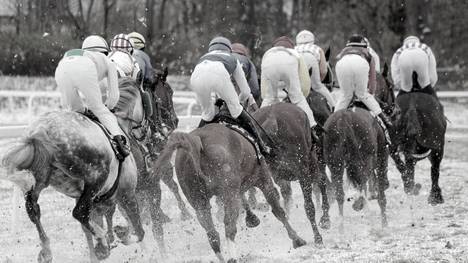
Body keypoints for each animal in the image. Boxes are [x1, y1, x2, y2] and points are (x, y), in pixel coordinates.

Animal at [0, 77, 145, 262]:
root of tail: (41, 132)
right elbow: (138, 231)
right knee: (79, 213)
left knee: (33, 209)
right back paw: (101, 242)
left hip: (40, 179)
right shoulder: (127, 194)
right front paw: (115, 238)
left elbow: (94, 227)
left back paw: (47, 250)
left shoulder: (93, 200)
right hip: (96, 177)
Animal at [153, 124, 308, 263]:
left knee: (212, 234)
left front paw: (252, 218)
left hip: (199, 202)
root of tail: (197, 140)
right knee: (229, 226)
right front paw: (297, 239)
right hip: (229, 195)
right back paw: (233, 257)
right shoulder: (264, 181)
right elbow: (278, 211)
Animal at [324, 62, 396, 231]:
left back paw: (342, 229)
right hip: (366, 158)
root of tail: (344, 119)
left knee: (340, 194)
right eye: (390, 85)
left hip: (334, 164)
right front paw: (384, 223)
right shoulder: (382, 157)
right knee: (363, 181)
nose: (393, 107)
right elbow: (381, 192)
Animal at [392, 72, 446, 206]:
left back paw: (410, 187)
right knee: (435, 170)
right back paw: (435, 197)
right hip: (437, 147)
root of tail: (412, 108)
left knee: (400, 164)